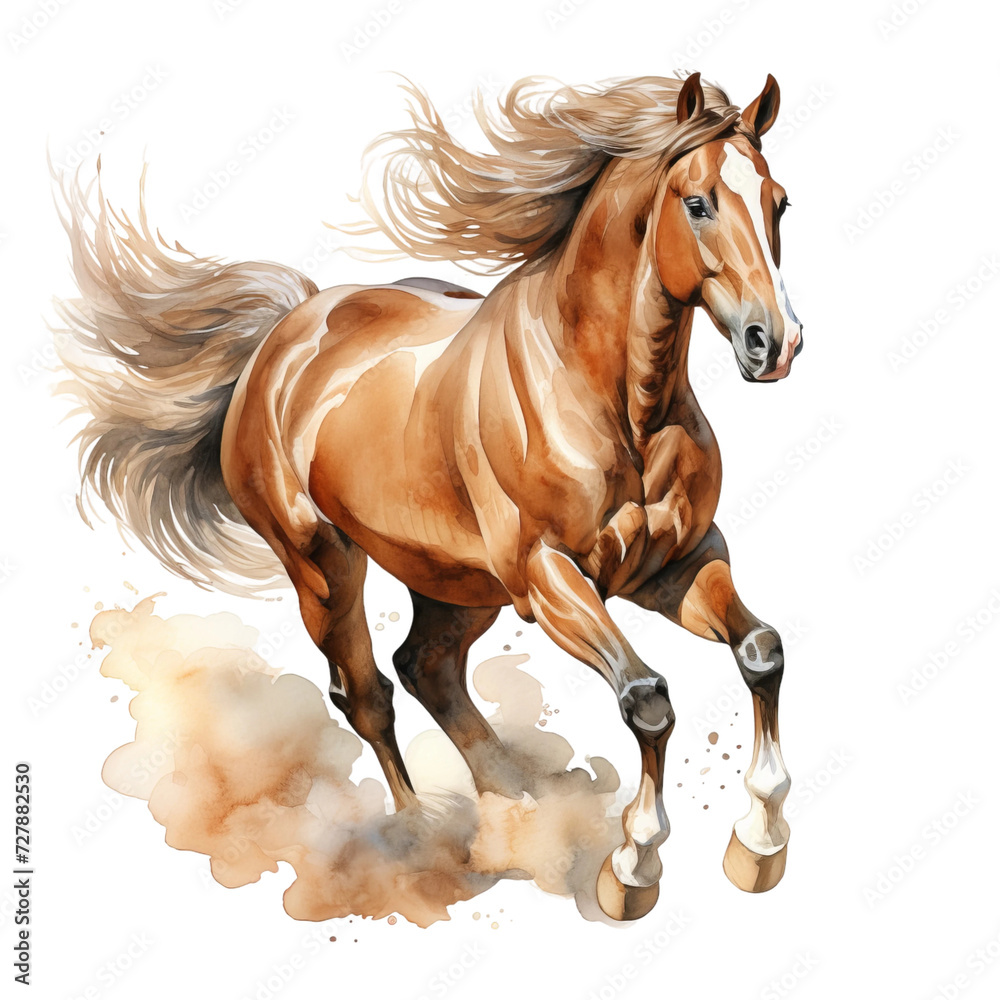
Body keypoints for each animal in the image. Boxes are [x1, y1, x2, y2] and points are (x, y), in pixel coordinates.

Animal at [55, 71, 802, 921]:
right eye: (699, 202)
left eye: (778, 202)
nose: (774, 343)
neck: (612, 400)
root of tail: (286, 332)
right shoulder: (551, 579)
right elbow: (647, 697)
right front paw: (632, 869)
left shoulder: (676, 565)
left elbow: (762, 651)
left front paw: (759, 846)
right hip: (323, 565)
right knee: (367, 692)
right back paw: (426, 840)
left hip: (456, 583)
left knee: (427, 668)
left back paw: (515, 807)